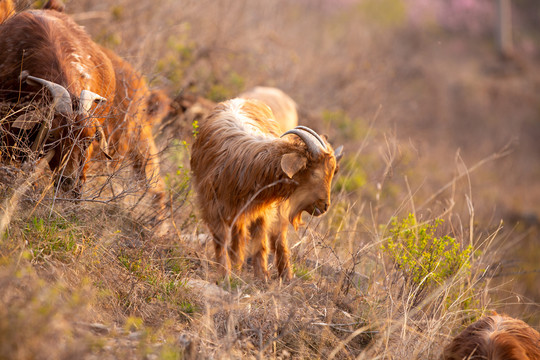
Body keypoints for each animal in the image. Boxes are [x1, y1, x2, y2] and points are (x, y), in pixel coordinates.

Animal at [191, 99, 342, 282]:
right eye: (315, 173)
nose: (325, 206)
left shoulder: (263, 210)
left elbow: (260, 241)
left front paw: (262, 277)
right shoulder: (213, 206)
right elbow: (222, 239)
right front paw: (225, 275)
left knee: (278, 237)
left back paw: (286, 275)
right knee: (240, 233)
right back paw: (237, 264)